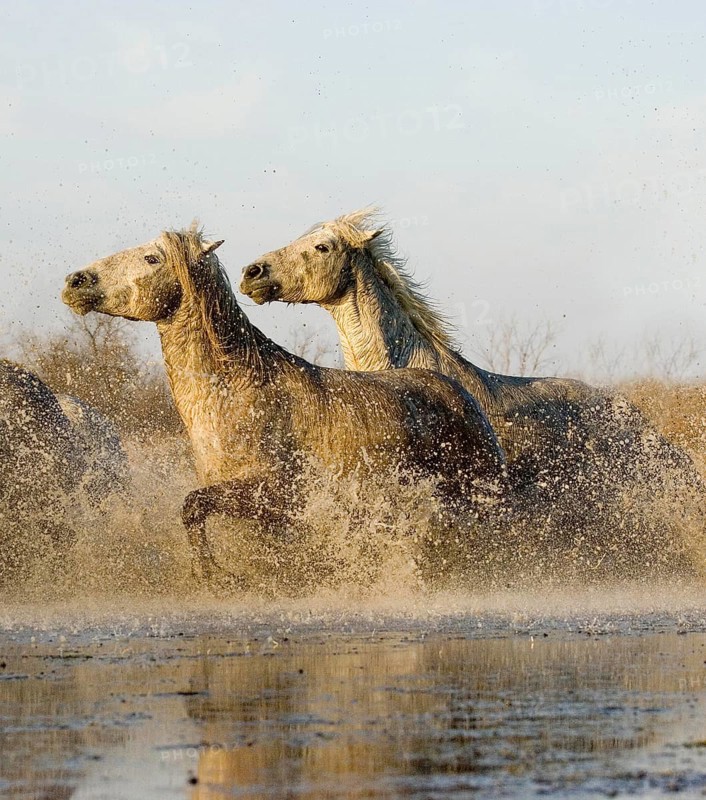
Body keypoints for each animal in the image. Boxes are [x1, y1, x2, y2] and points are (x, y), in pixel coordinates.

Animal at [62, 226, 509, 589]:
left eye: (152, 258)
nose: (74, 280)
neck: (239, 391)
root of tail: (463, 395)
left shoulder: (273, 495)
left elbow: (192, 506)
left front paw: (213, 574)